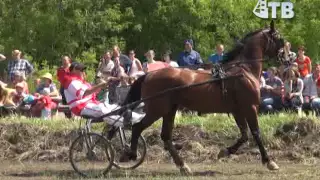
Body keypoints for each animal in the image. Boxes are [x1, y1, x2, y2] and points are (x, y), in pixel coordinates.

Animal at [120, 21, 284, 174]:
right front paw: (269, 161)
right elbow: (256, 133)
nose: (286, 56)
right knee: (138, 127)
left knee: (166, 136)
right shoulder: (249, 107)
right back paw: (131, 154)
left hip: (169, 110)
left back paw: (182, 165)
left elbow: (244, 135)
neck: (244, 71)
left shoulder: (238, 110)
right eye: (279, 37)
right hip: (157, 109)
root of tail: (149, 74)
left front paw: (225, 151)